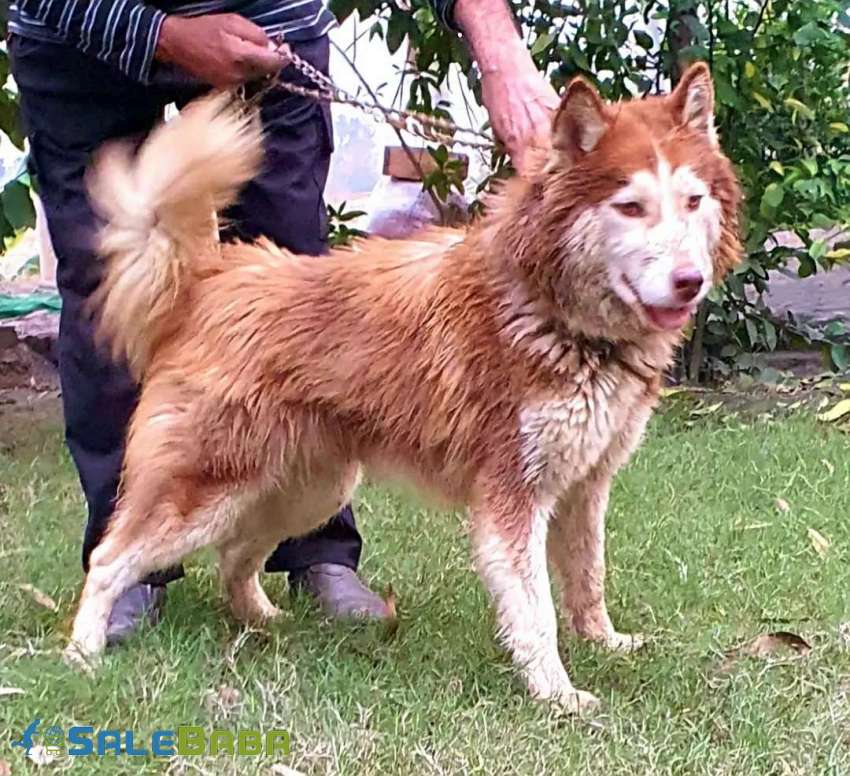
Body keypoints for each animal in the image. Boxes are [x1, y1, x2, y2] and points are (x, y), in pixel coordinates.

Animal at [66, 63, 740, 712]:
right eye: (630, 207)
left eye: (692, 201)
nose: (690, 282)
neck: (550, 311)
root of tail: (214, 275)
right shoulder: (512, 499)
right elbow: (536, 610)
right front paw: (555, 690)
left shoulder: (585, 484)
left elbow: (588, 577)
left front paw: (604, 641)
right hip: (206, 490)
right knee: (110, 558)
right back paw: (83, 651)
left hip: (306, 489)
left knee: (235, 557)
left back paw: (268, 622)